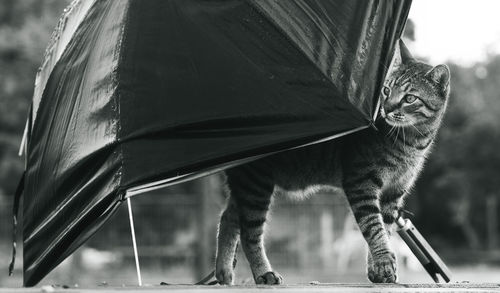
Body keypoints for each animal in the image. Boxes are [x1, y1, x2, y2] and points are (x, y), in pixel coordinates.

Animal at [217, 41, 452, 282]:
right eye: (386, 90)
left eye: (410, 98)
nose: (386, 108)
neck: (411, 143)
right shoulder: (361, 183)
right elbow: (373, 227)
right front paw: (384, 261)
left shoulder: (393, 195)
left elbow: (383, 229)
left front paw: (377, 269)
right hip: (256, 185)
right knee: (249, 234)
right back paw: (264, 273)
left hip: (248, 186)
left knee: (228, 219)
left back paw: (224, 272)